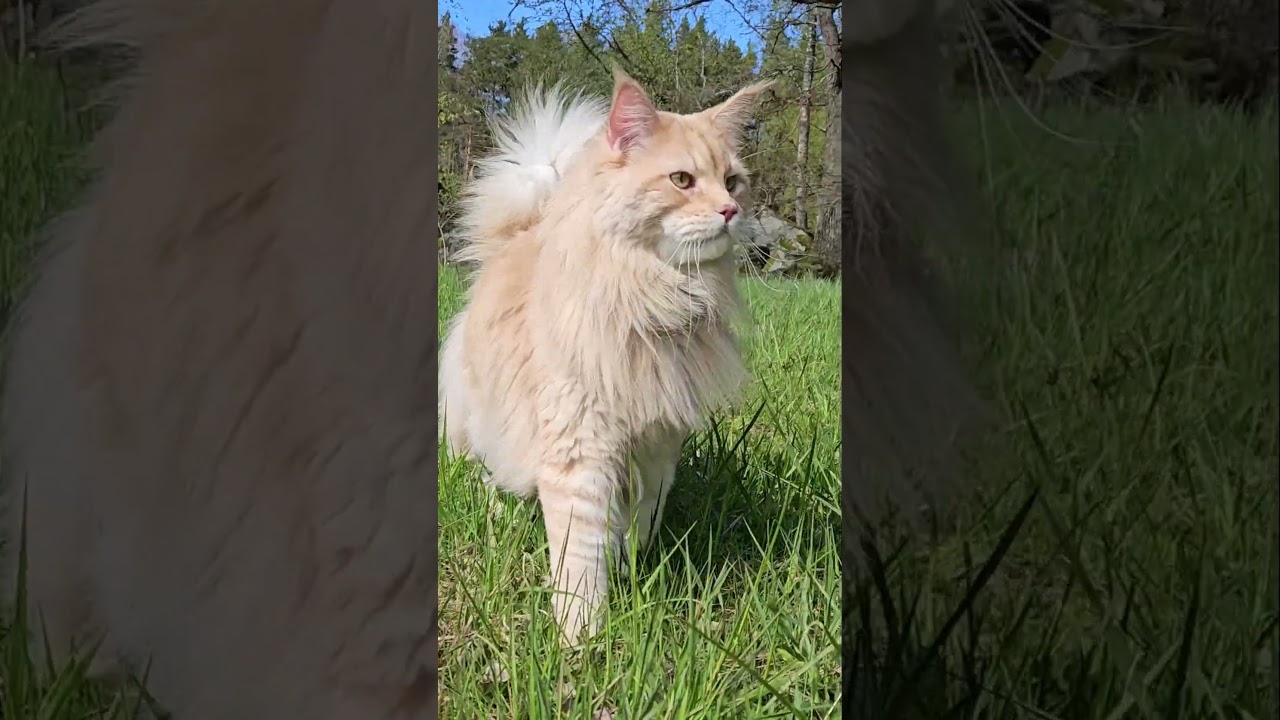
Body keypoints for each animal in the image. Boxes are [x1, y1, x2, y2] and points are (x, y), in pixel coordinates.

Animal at [440, 67, 768, 638]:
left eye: (732, 182)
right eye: (681, 180)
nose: (730, 212)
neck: (651, 294)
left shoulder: (656, 445)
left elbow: (637, 524)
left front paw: (631, 576)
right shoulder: (581, 449)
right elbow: (581, 557)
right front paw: (581, 639)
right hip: (473, 424)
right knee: (479, 470)